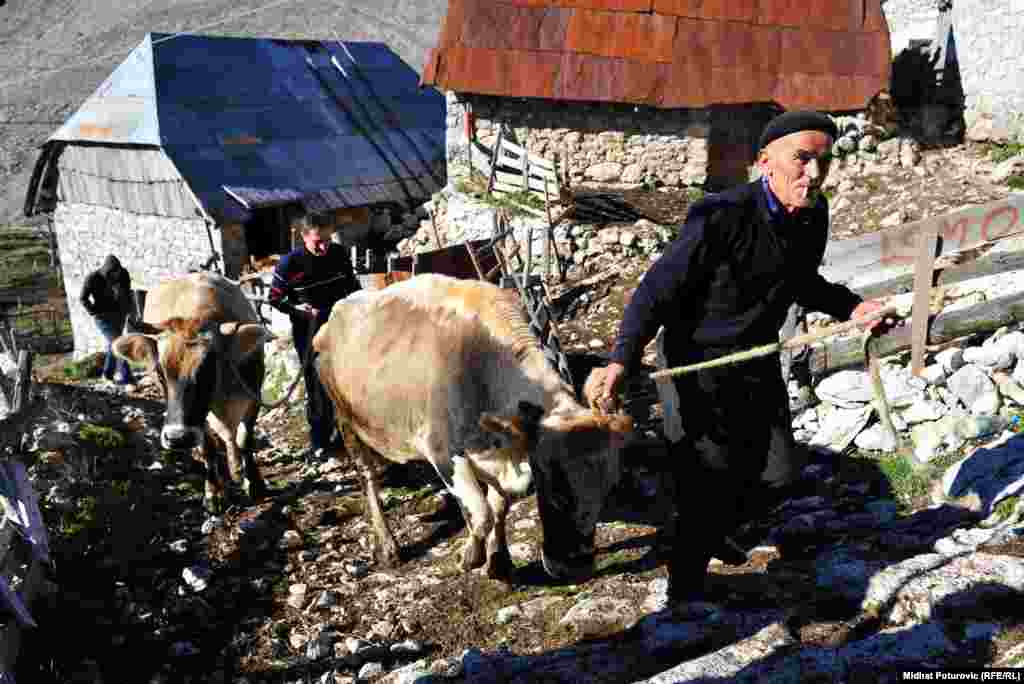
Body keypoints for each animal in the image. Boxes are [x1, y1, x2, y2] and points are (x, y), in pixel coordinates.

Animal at [114, 270, 272, 507]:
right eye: (160, 374)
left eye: (208, 369)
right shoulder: (199, 418)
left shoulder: (253, 396)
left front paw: (255, 484)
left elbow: (245, 439)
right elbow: (208, 447)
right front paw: (214, 493)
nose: (178, 438)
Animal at [311, 272, 630, 577]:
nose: (576, 568)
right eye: (557, 493)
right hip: (346, 419)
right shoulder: (442, 451)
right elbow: (481, 512)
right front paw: (469, 557)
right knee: (367, 477)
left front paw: (499, 561)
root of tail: (337, 310)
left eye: (609, 488)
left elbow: (498, 507)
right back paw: (388, 547)